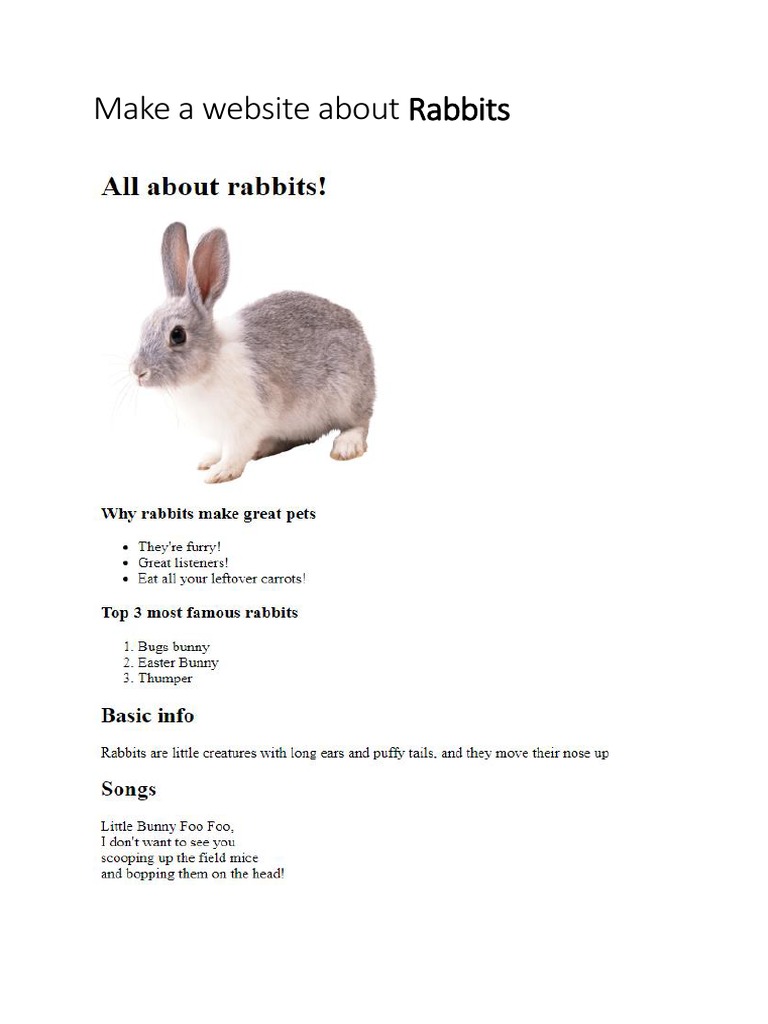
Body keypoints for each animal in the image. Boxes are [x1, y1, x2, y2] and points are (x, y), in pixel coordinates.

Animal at [131, 222, 375, 483]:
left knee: (360, 422)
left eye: (177, 335)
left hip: (347, 395)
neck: (209, 365)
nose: (137, 372)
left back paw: (346, 446)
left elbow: (235, 451)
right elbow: (220, 448)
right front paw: (208, 460)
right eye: (144, 325)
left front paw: (220, 472)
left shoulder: (245, 424)